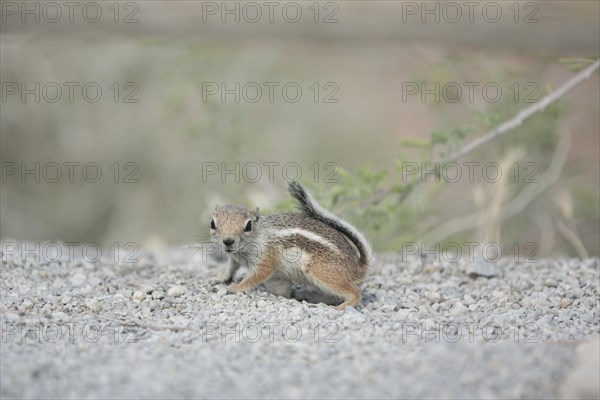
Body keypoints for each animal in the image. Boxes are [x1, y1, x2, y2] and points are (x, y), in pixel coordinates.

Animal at [210, 181, 370, 310]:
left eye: (248, 226)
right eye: (212, 223)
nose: (228, 241)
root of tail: (358, 266)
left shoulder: (266, 258)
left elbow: (255, 277)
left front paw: (235, 287)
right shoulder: (234, 258)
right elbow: (230, 268)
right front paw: (219, 279)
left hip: (322, 273)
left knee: (354, 293)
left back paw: (339, 307)